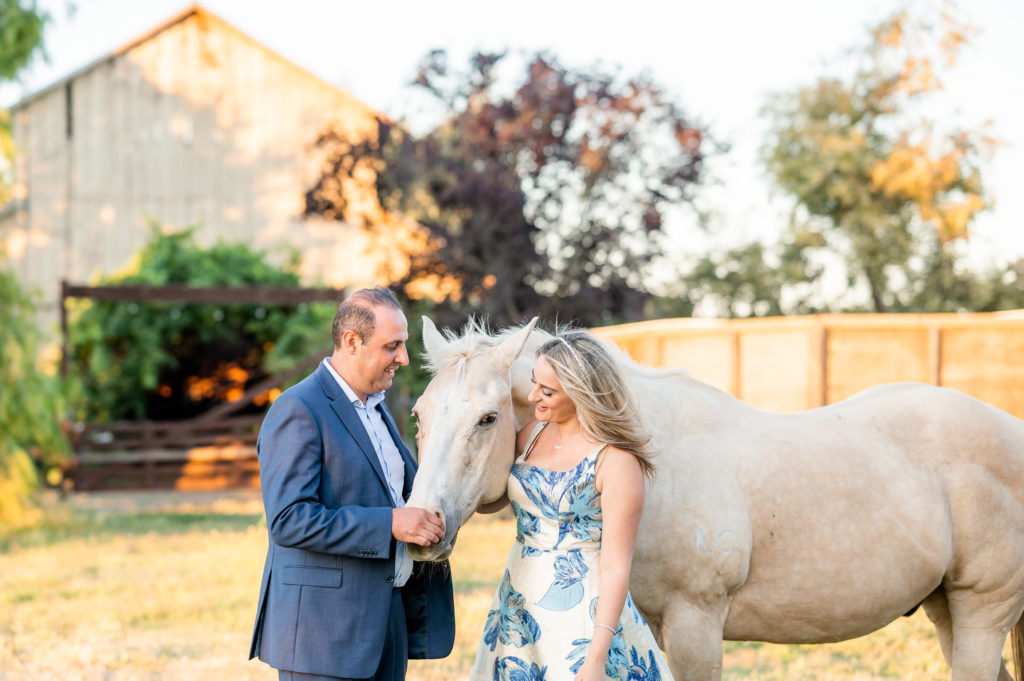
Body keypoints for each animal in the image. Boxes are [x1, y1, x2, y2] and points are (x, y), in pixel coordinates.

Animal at [403, 319, 1024, 679]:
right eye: (419, 414)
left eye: (487, 418)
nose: (422, 530)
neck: (653, 459)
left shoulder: (694, 627)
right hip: (949, 612)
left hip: (982, 616)